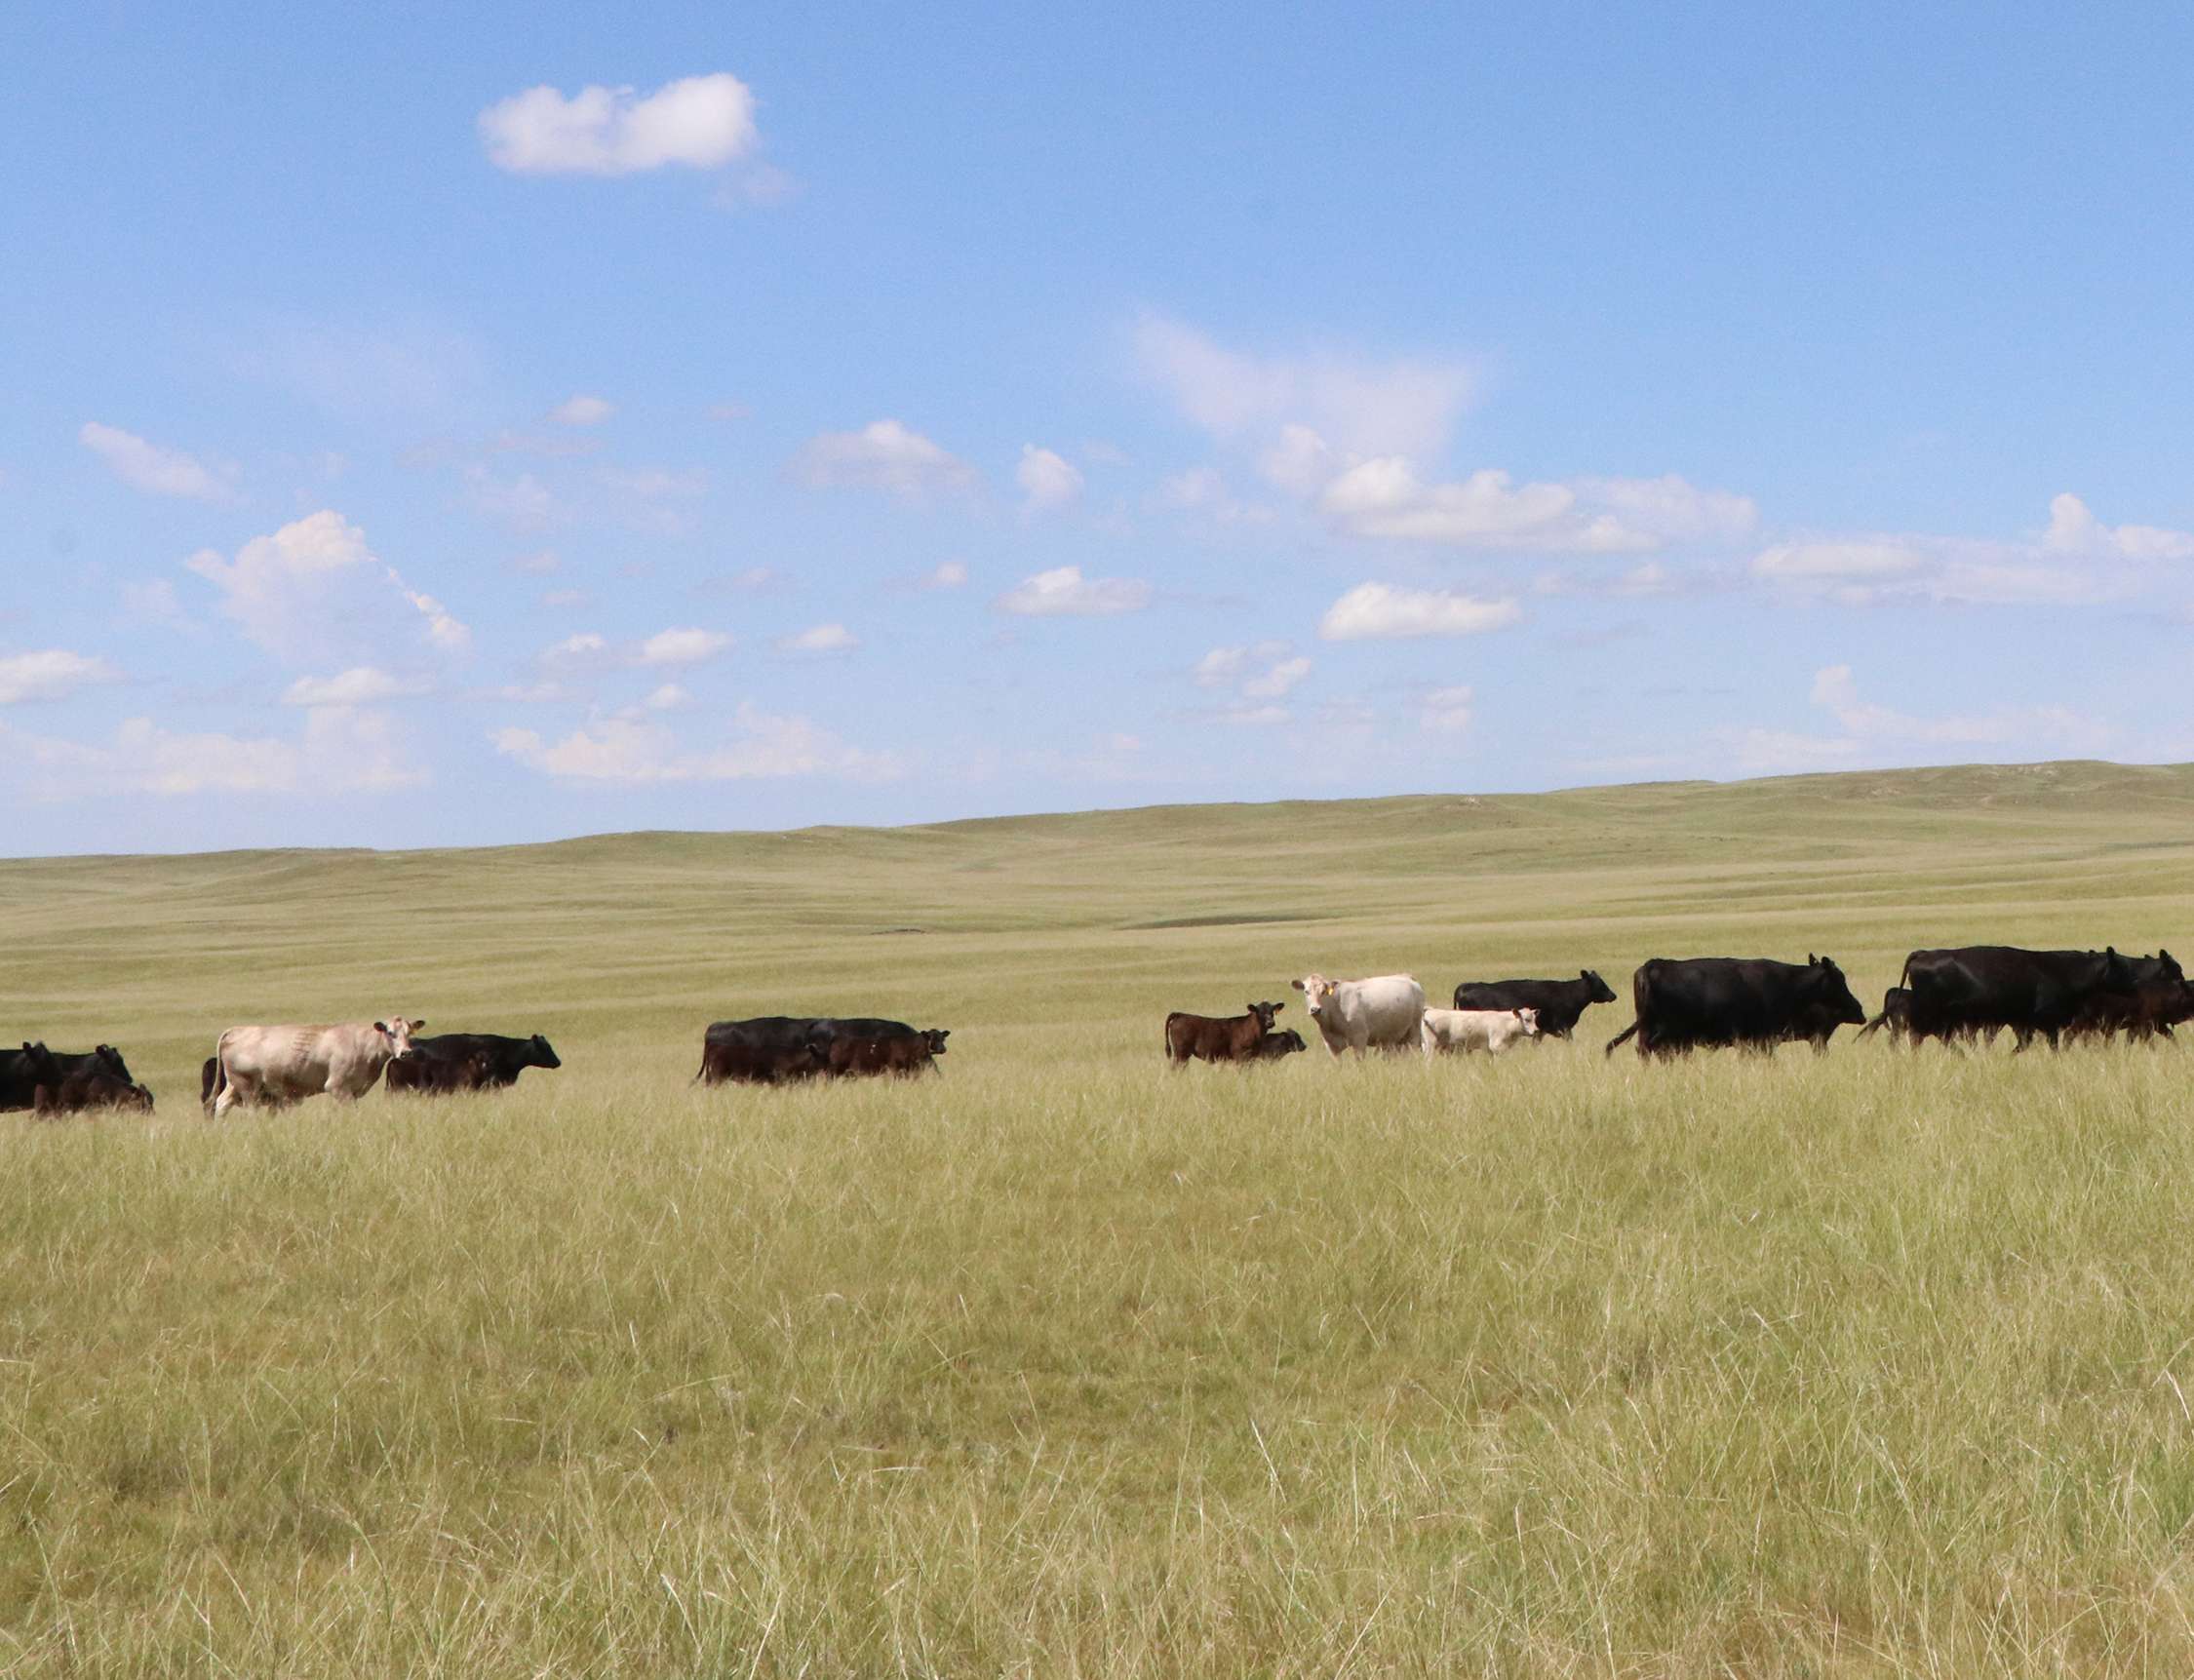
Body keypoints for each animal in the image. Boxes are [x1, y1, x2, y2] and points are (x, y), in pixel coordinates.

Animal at [207, 1018, 424, 1116]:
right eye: (390, 1033)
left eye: (409, 1033)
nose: (406, 1052)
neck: (362, 1042)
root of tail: (237, 1030)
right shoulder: (337, 1087)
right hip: (247, 1087)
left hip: (234, 1086)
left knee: (222, 1103)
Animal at [1290, 973, 1428, 1057]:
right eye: (1306, 991)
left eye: (1323, 991)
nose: (1315, 1009)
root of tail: (1408, 977)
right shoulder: (1331, 1046)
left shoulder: (1359, 1040)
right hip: (1395, 1039)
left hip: (1414, 1032)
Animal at [1449, 972, 1617, 1041]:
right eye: (1600, 983)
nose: (1613, 995)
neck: (1570, 994)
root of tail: (1465, 986)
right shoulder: (1563, 1026)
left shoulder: (1541, 1030)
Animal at [1603, 956, 1865, 1058]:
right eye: (1839, 980)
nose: (1860, 1010)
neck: (1788, 984)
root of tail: (1652, 965)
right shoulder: (1761, 1039)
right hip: (1667, 1032)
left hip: (1649, 1029)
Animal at [1898, 946, 2149, 1051]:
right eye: (2121, 966)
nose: (2137, 985)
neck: (2065, 972)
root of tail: (1924, 953)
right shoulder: (2047, 1023)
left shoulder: (2024, 1024)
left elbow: (2023, 1045)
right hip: (1931, 1015)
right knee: (1918, 1037)